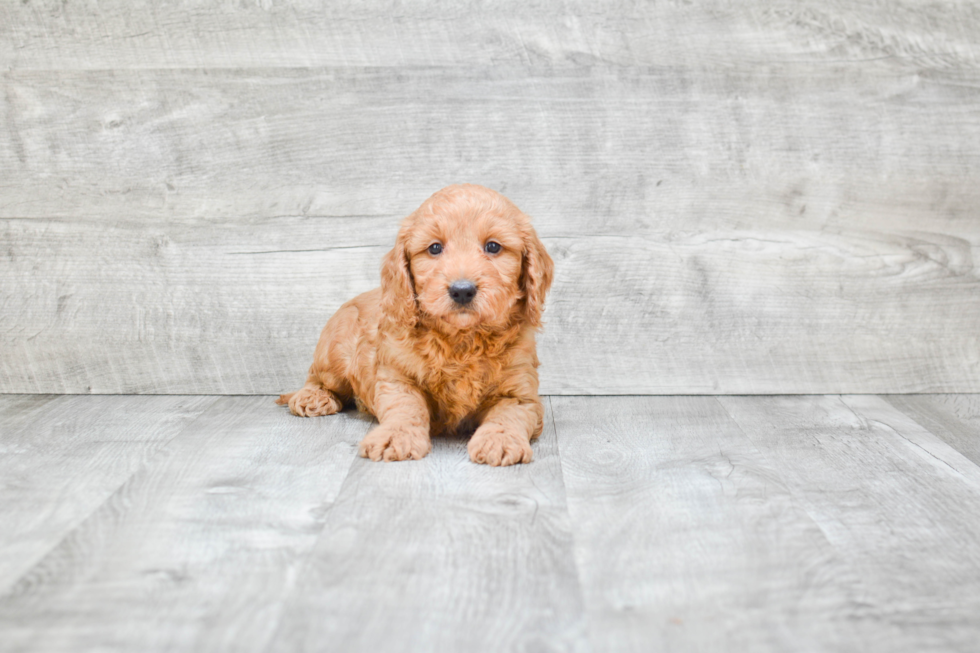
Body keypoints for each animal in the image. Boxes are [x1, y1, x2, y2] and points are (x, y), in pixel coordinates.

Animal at [278, 185, 552, 468]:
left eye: (493, 246)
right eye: (434, 248)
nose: (462, 290)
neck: (462, 339)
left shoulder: (520, 391)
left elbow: (509, 414)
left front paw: (500, 440)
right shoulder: (397, 378)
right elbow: (405, 408)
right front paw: (395, 436)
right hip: (334, 351)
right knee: (318, 377)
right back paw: (313, 397)